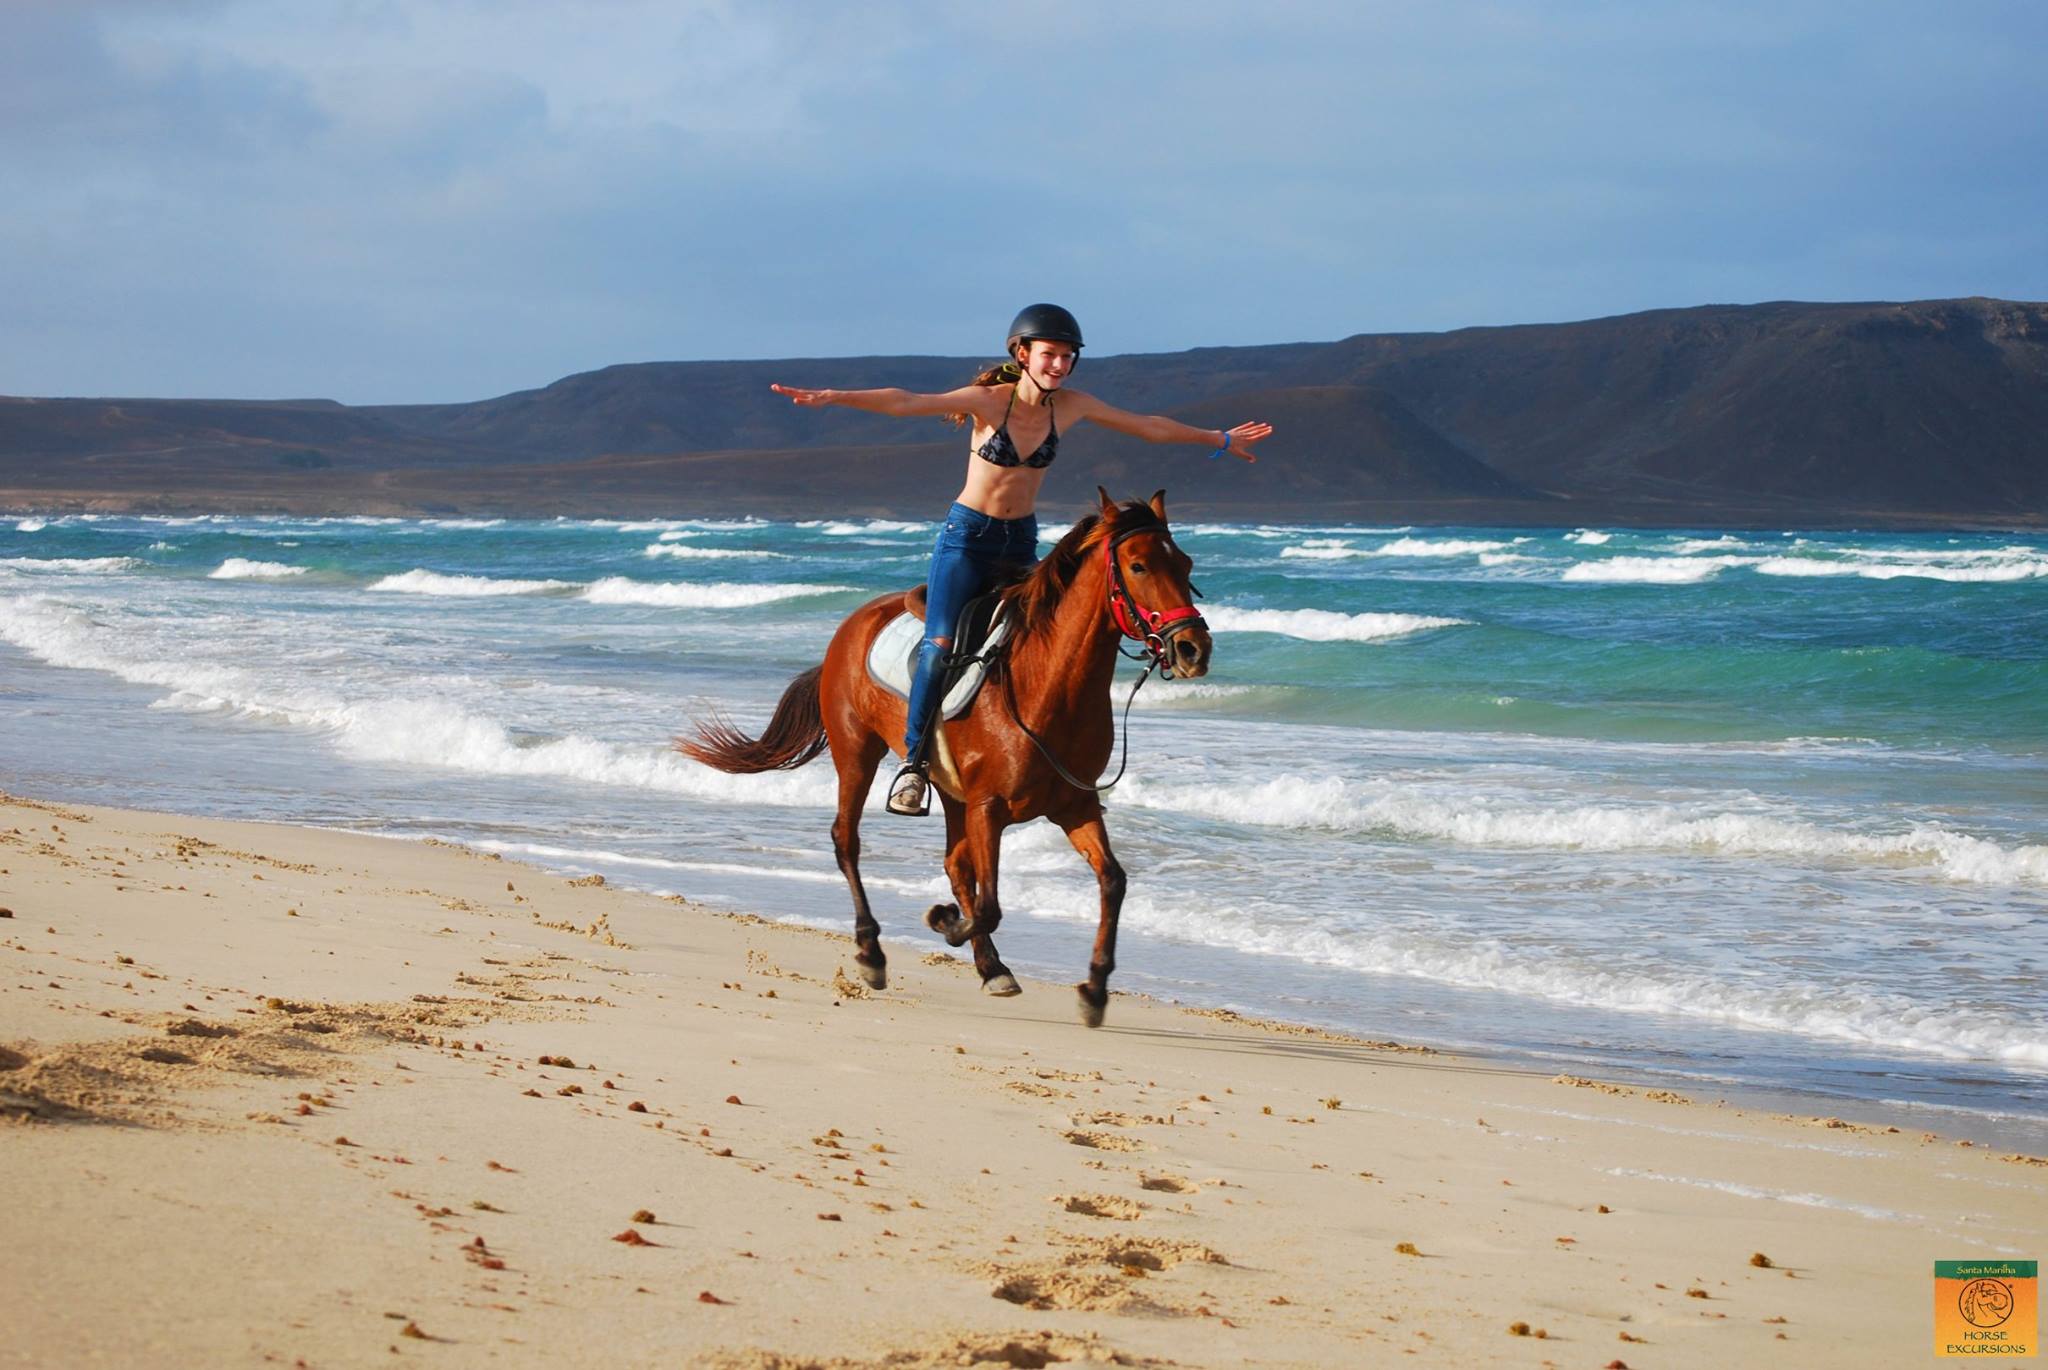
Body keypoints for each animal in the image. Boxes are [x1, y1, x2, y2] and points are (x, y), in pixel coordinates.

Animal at [677, 489, 1212, 1027]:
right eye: (1139, 565)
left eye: (1185, 564)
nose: (1193, 648)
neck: (1047, 686)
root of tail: (852, 624)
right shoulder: (988, 807)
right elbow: (989, 904)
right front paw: (944, 922)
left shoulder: (1073, 806)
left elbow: (1112, 881)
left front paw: (1095, 988)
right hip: (857, 752)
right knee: (847, 841)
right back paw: (873, 953)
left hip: (953, 794)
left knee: (955, 866)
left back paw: (991, 967)